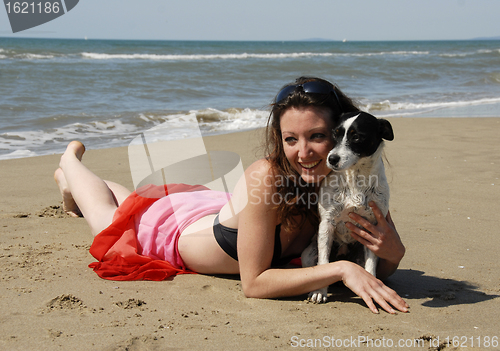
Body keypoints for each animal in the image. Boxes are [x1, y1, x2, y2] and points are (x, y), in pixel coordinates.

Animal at [300, 111, 394, 304]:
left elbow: (370, 267)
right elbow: (323, 264)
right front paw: (320, 291)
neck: (355, 178)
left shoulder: (374, 228)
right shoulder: (327, 223)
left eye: (357, 137)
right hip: (307, 254)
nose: (331, 159)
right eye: (335, 134)